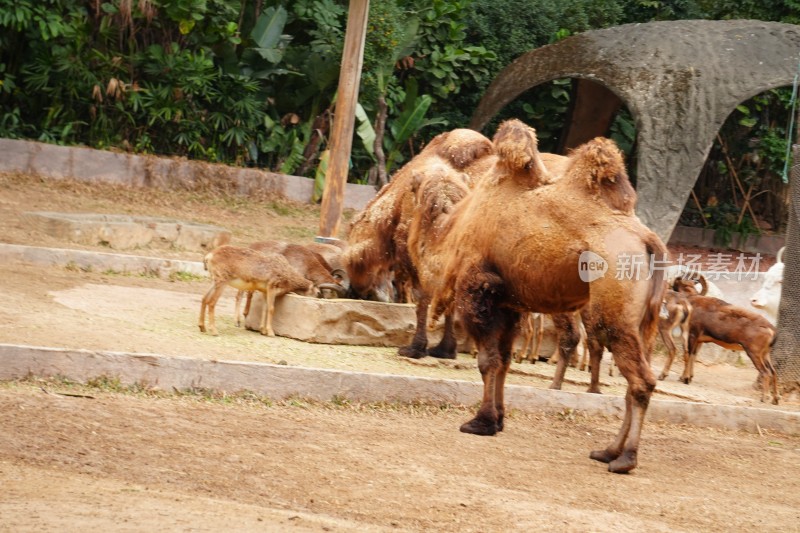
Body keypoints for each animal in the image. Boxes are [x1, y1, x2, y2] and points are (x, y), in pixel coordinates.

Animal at [434, 131, 664, 472]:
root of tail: (648, 241)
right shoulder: (509, 305)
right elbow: (504, 361)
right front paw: (498, 420)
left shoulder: (477, 291)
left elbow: (487, 361)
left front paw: (480, 422)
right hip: (645, 323)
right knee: (633, 376)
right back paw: (607, 451)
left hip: (615, 303)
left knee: (640, 379)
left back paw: (625, 459)